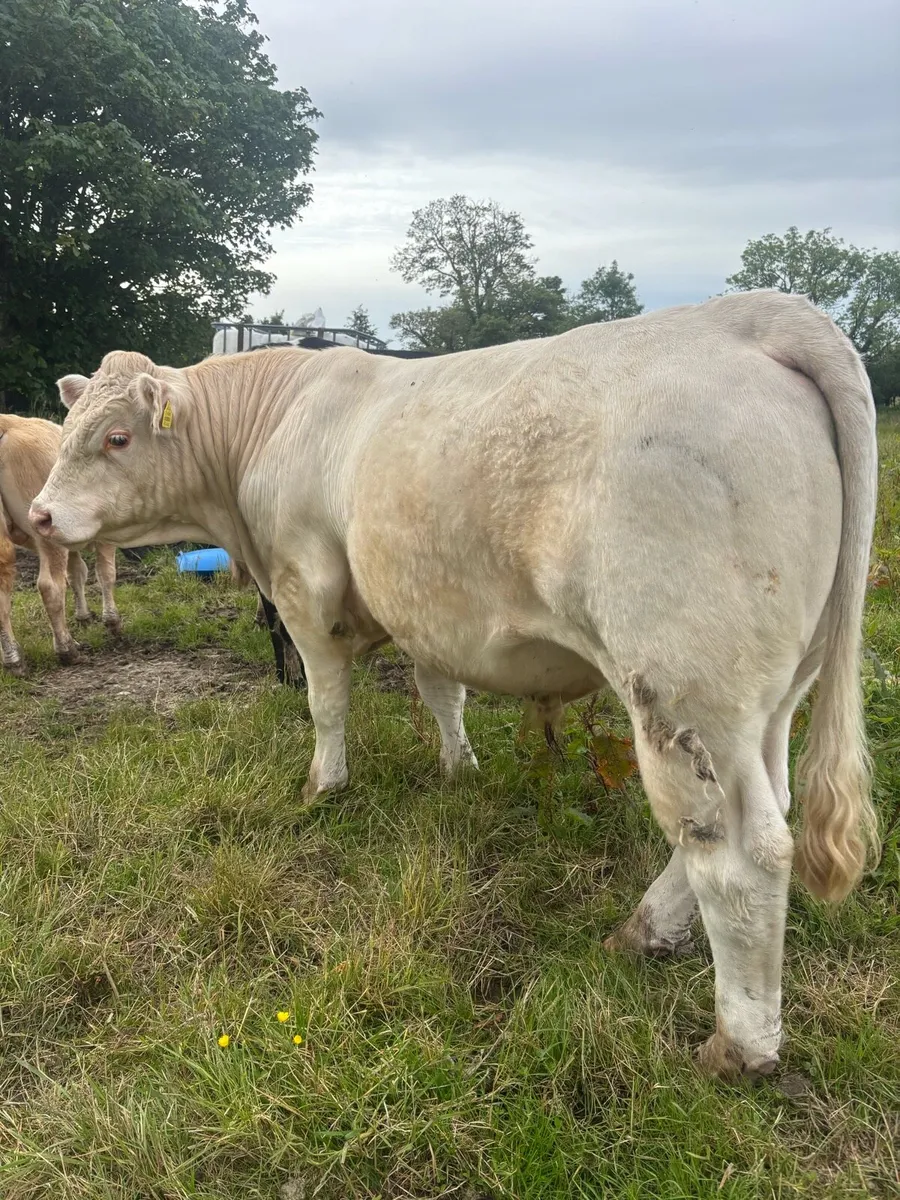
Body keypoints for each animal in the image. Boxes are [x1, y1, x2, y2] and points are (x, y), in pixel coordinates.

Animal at [0, 413, 120, 673]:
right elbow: (105, 573)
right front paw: (112, 621)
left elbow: (77, 573)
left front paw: (83, 615)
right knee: (50, 587)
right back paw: (67, 650)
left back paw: (13, 659)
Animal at [29, 291, 879, 1080]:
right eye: (65, 433)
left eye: (115, 437)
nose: (37, 515)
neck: (273, 421)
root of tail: (752, 313)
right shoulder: (424, 608)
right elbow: (443, 695)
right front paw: (458, 769)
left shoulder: (305, 590)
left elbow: (325, 702)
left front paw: (323, 785)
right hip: (771, 696)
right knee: (766, 808)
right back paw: (643, 932)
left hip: (680, 686)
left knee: (735, 854)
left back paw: (740, 1045)